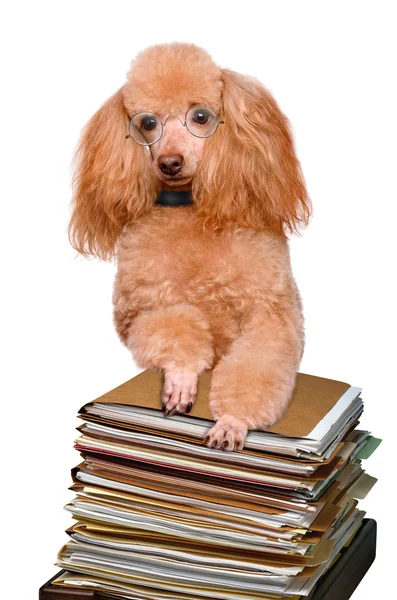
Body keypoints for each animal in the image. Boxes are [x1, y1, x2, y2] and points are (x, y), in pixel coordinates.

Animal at [68, 42, 310, 452]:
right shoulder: (138, 313)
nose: (170, 163)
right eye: (148, 123)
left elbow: (255, 366)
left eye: (200, 116)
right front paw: (181, 380)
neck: (190, 210)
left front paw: (231, 422)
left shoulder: (272, 316)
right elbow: (176, 324)